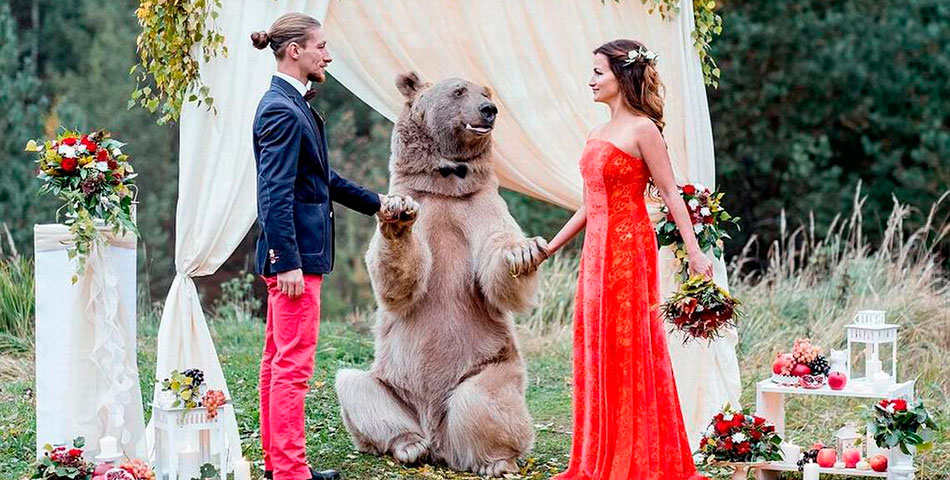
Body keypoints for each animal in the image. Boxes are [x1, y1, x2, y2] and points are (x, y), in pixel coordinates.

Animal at [334, 72, 548, 476]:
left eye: (486, 91)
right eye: (459, 91)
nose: (489, 109)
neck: (447, 182)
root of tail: (440, 441)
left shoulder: (482, 206)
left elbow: (497, 265)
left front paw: (523, 252)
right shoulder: (420, 202)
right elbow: (397, 282)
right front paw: (397, 221)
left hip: (490, 363)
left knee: (485, 399)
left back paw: (496, 460)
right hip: (391, 382)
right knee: (356, 388)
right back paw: (408, 446)